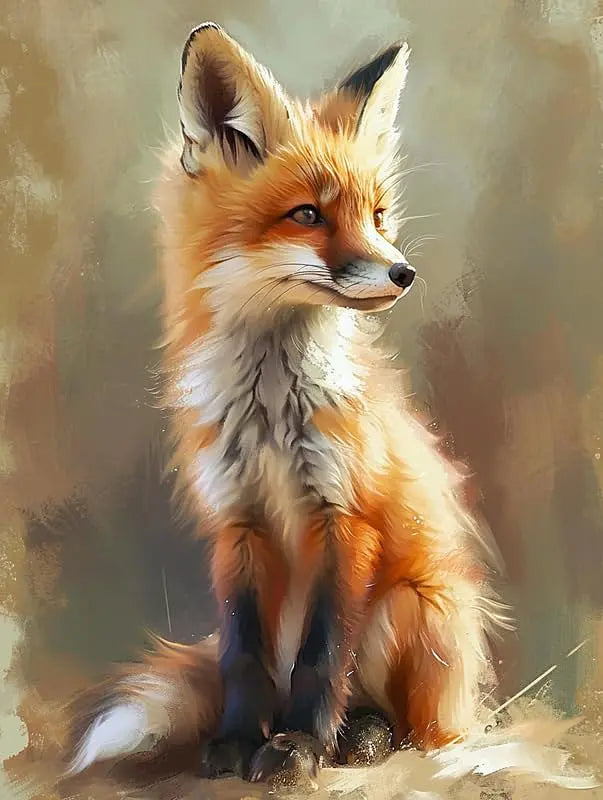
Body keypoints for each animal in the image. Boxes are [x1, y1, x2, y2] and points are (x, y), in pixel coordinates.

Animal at [64, 22, 510, 788]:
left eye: (377, 215)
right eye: (307, 215)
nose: (403, 272)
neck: (272, 418)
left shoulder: (346, 518)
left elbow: (322, 657)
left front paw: (300, 746)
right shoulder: (237, 525)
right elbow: (242, 659)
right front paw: (239, 741)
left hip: (408, 606)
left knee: (408, 724)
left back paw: (361, 736)